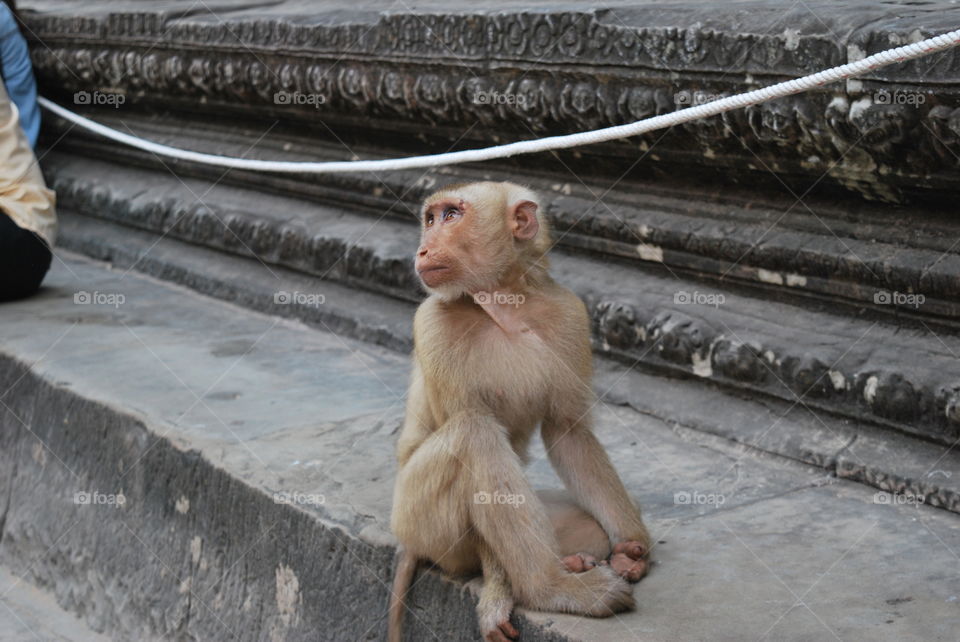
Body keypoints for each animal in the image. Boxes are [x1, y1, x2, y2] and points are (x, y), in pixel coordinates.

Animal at [389, 182, 651, 642]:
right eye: (430, 218)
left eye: (451, 215)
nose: (422, 249)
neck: (503, 303)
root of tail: (406, 540)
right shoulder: (433, 322)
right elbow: (476, 438)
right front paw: (499, 595)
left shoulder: (569, 314)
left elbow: (569, 432)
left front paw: (633, 547)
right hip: (416, 516)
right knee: (473, 433)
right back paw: (548, 587)